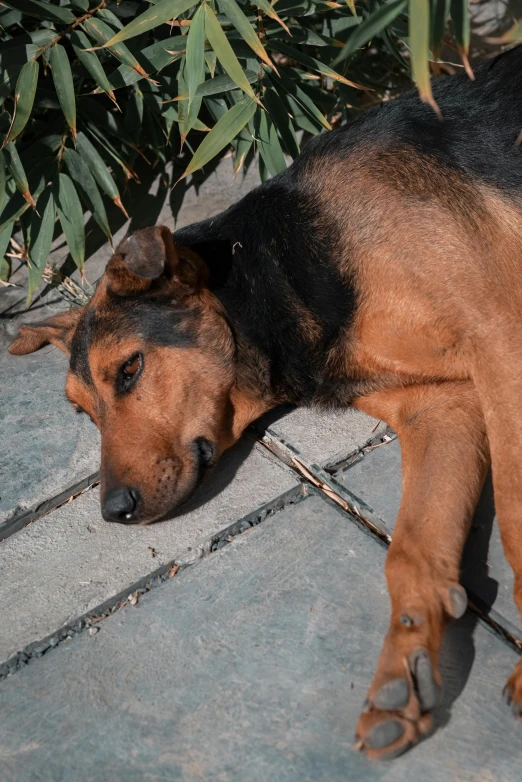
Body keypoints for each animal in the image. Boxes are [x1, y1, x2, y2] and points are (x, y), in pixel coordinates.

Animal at [9, 46, 522, 764]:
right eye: (84, 413)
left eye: (131, 369)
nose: (114, 512)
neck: (285, 269)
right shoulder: (442, 407)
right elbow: (410, 552)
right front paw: (402, 675)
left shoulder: (503, 341)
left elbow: (517, 518)